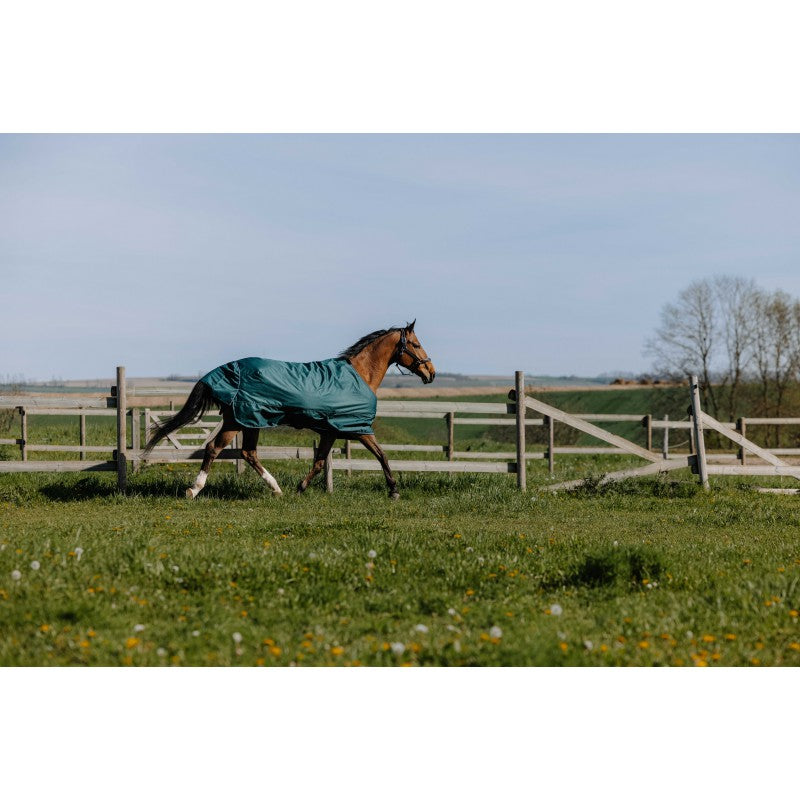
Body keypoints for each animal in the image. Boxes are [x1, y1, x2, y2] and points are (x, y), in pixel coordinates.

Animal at [142, 321, 435, 500]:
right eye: (417, 344)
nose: (431, 373)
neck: (360, 375)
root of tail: (219, 372)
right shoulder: (358, 428)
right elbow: (382, 455)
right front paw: (394, 490)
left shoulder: (330, 431)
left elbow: (319, 462)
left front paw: (300, 488)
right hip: (237, 421)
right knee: (214, 448)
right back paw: (194, 489)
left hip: (250, 422)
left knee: (249, 453)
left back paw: (277, 489)